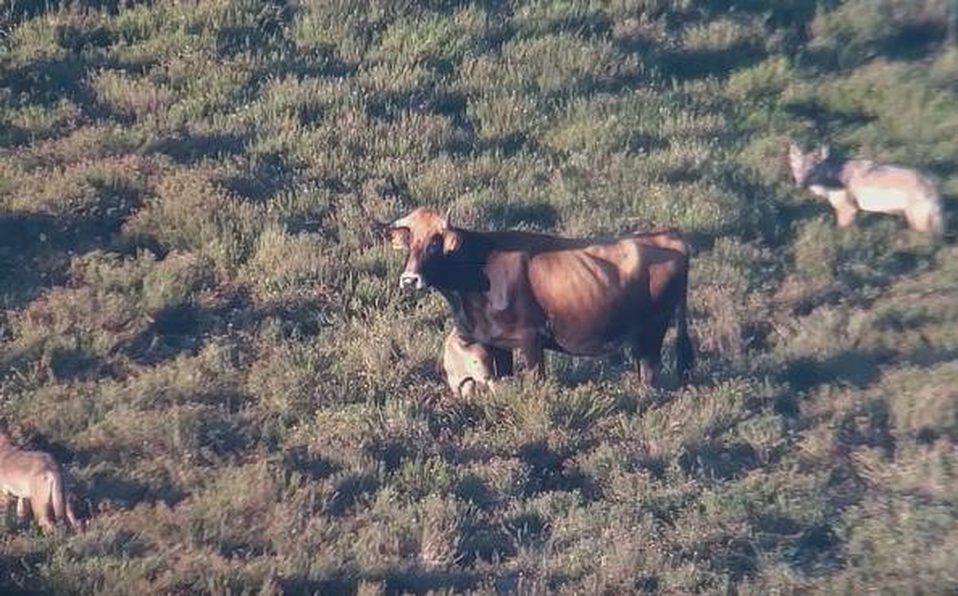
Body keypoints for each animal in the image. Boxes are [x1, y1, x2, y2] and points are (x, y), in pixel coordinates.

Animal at [376, 208, 693, 386]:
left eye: (434, 243)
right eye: (410, 243)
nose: (410, 279)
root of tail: (669, 235)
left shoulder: (531, 339)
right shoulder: (498, 343)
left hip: (652, 332)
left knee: (649, 374)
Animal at [788, 142, 945, 235]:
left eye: (811, 170)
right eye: (797, 170)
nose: (800, 185)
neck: (832, 175)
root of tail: (933, 185)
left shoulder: (847, 209)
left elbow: (841, 230)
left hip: (917, 221)